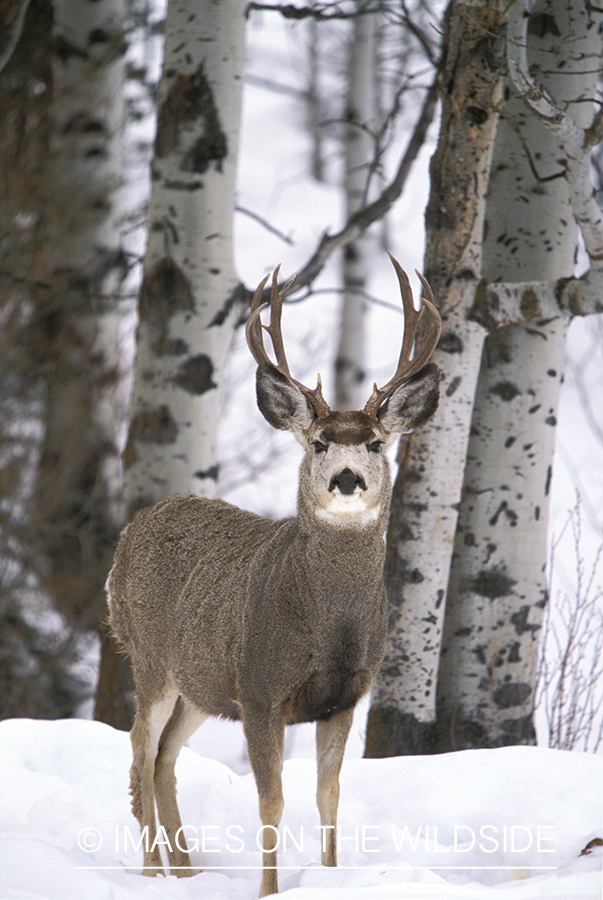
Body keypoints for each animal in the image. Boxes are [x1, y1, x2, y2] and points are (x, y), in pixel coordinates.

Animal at [107, 251, 438, 892]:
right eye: (318, 443)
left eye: (376, 443)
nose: (346, 480)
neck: (330, 626)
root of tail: (129, 532)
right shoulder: (261, 691)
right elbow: (272, 801)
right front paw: (269, 890)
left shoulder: (344, 698)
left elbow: (329, 795)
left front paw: (330, 876)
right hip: (150, 658)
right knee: (138, 747)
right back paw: (154, 873)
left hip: (203, 682)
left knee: (163, 757)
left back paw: (187, 873)